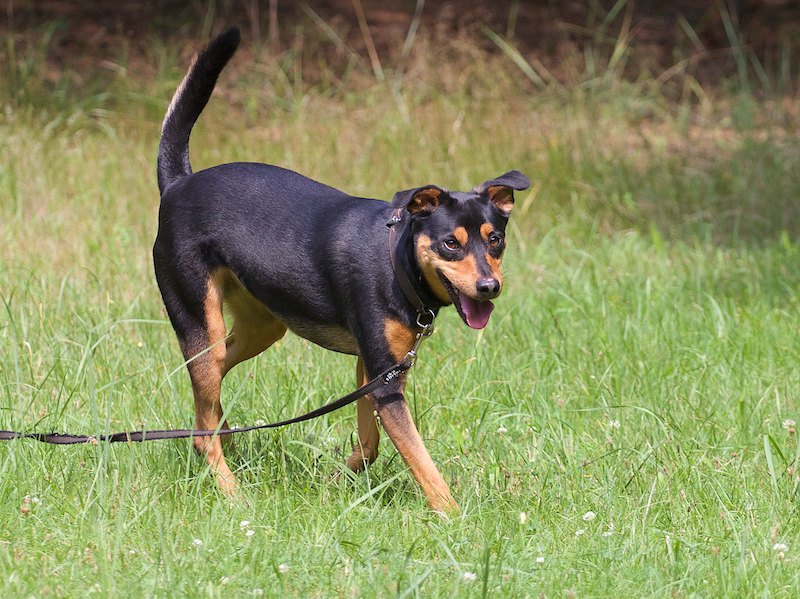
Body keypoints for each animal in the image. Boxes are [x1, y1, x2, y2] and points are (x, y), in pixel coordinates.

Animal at [153, 27, 529, 512]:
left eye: (495, 239)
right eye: (451, 244)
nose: (489, 287)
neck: (396, 264)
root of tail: (178, 185)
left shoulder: (377, 371)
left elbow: (370, 445)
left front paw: (337, 479)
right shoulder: (385, 382)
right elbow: (423, 463)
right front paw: (452, 516)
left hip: (259, 328)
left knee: (209, 404)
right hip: (202, 324)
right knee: (203, 429)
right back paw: (232, 492)